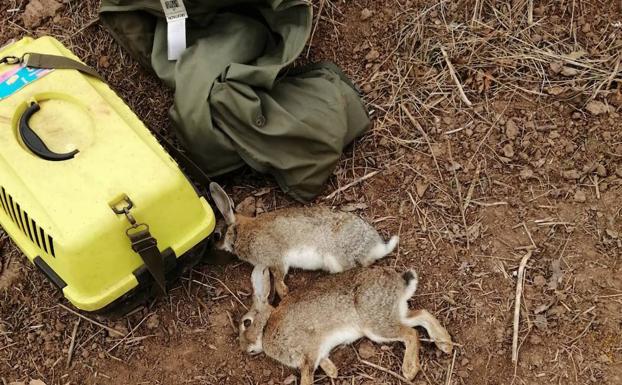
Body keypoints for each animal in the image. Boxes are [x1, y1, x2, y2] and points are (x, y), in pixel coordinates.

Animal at [240, 266, 454, 382]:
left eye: (246, 323)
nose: (245, 349)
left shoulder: (307, 353)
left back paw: (409, 370)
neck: (266, 327)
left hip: (375, 326)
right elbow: (323, 361)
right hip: (391, 314)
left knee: (411, 333)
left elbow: (307, 375)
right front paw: (333, 372)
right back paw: (445, 343)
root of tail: (400, 283)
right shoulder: (316, 352)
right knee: (421, 315)